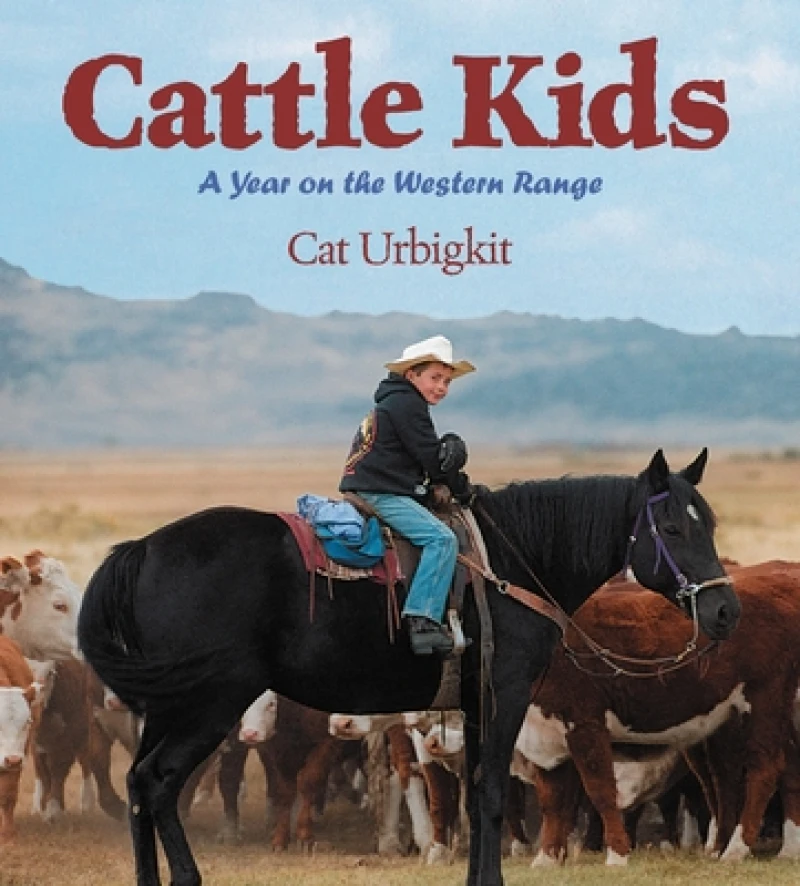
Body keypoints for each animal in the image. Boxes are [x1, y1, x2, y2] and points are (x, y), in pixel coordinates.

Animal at [515, 561, 800, 865]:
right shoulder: (542, 734)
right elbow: (552, 800)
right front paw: (546, 859)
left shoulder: (585, 722)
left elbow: (600, 791)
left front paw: (617, 856)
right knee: (735, 778)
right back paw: (753, 847)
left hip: (765, 700)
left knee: (765, 769)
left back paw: (737, 848)